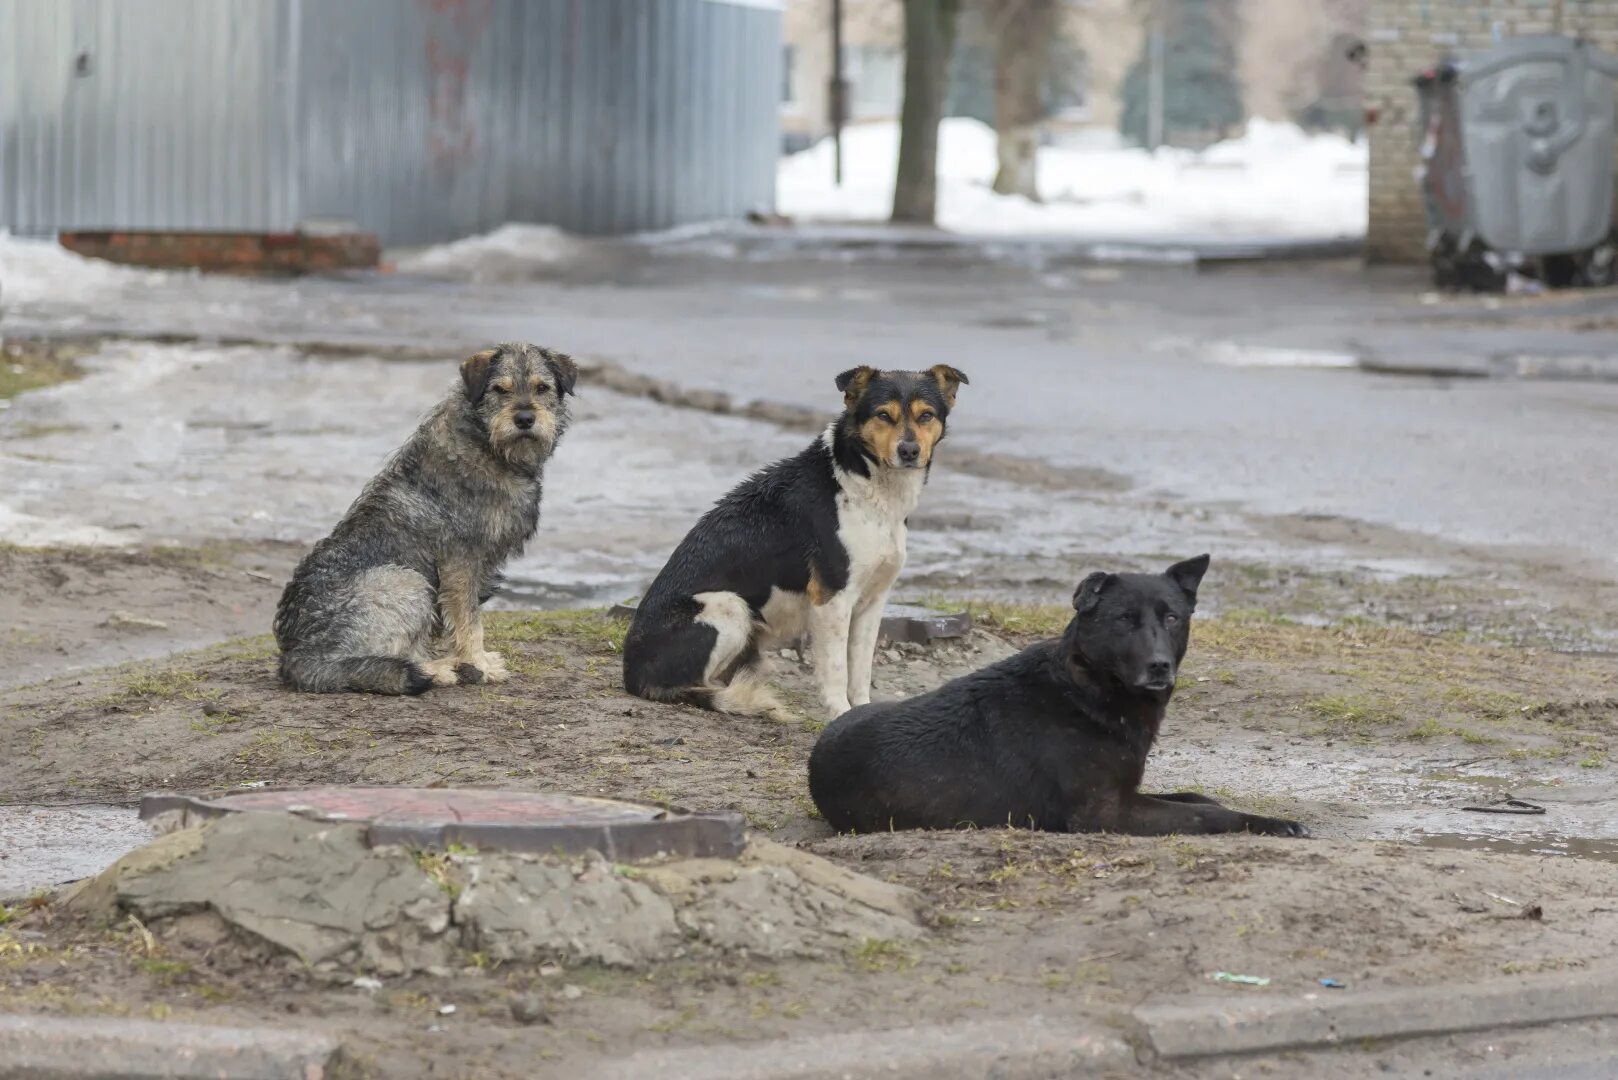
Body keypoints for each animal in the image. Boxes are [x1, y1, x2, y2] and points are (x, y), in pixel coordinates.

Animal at [275, 346, 579, 702]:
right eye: (499, 389)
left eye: (542, 388)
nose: (525, 419)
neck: (487, 446)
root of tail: (299, 658)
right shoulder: (461, 563)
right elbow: (469, 621)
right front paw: (478, 664)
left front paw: (477, 661)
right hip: (407, 581)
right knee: (378, 660)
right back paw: (437, 670)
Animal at [624, 367, 964, 722]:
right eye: (884, 415)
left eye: (926, 415)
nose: (909, 451)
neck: (863, 483)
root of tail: (631, 673)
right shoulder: (832, 599)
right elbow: (836, 670)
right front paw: (840, 713)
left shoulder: (873, 600)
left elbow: (860, 671)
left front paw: (860, 712)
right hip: (728, 605)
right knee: (696, 685)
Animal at [805, 557, 1300, 835]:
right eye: (1124, 619)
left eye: (1172, 618)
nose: (1160, 665)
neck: (1084, 691)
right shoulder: (1107, 814)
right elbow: (1210, 816)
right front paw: (1271, 824)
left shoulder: (1129, 793)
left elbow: (1198, 799)